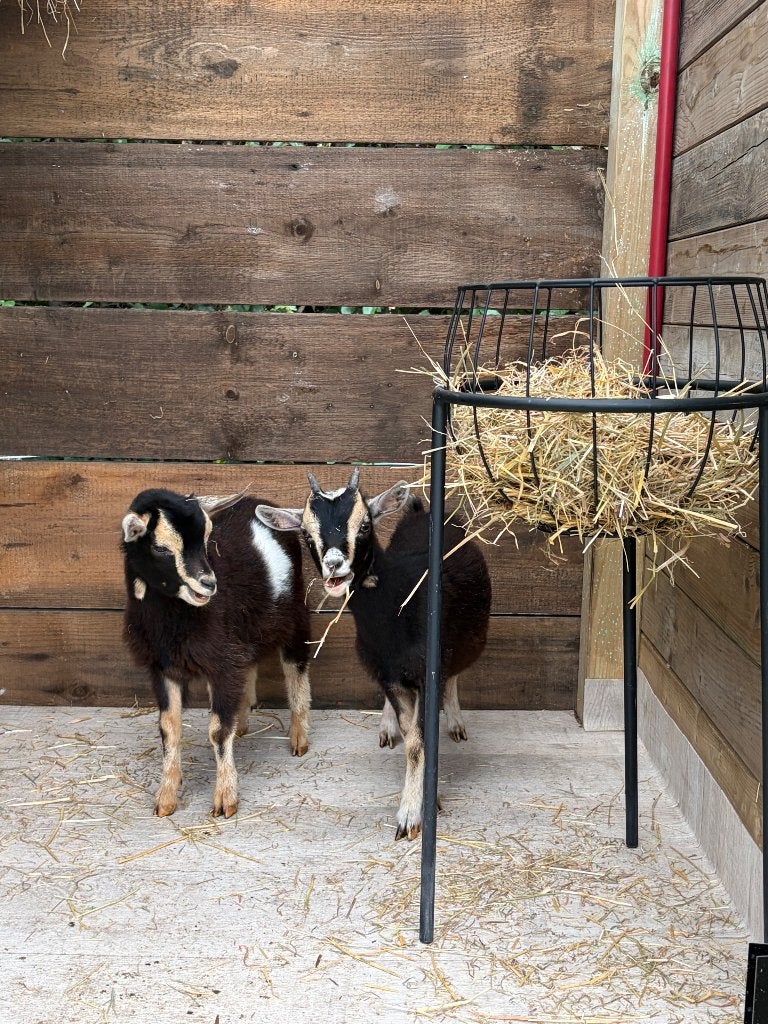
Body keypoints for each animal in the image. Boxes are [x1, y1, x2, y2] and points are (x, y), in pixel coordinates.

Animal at [122, 488, 311, 818]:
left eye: (208, 537)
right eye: (159, 547)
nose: (208, 584)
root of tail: (262, 503)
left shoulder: (222, 664)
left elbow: (218, 731)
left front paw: (225, 798)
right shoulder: (163, 668)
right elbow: (169, 729)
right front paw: (166, 797)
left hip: (293, 612)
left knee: (296, 665)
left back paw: (299, 736)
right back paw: (243, 723)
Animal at [256, 469, 491, 840]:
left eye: (365, 524)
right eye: (306, 533)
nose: (334, 566)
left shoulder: (428, 672)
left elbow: (422, 740)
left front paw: (412, 814)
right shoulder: (388, 673)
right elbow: (412, 739)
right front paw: (421, 800)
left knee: (455, 674)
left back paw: (455, 722)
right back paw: (387, 727)